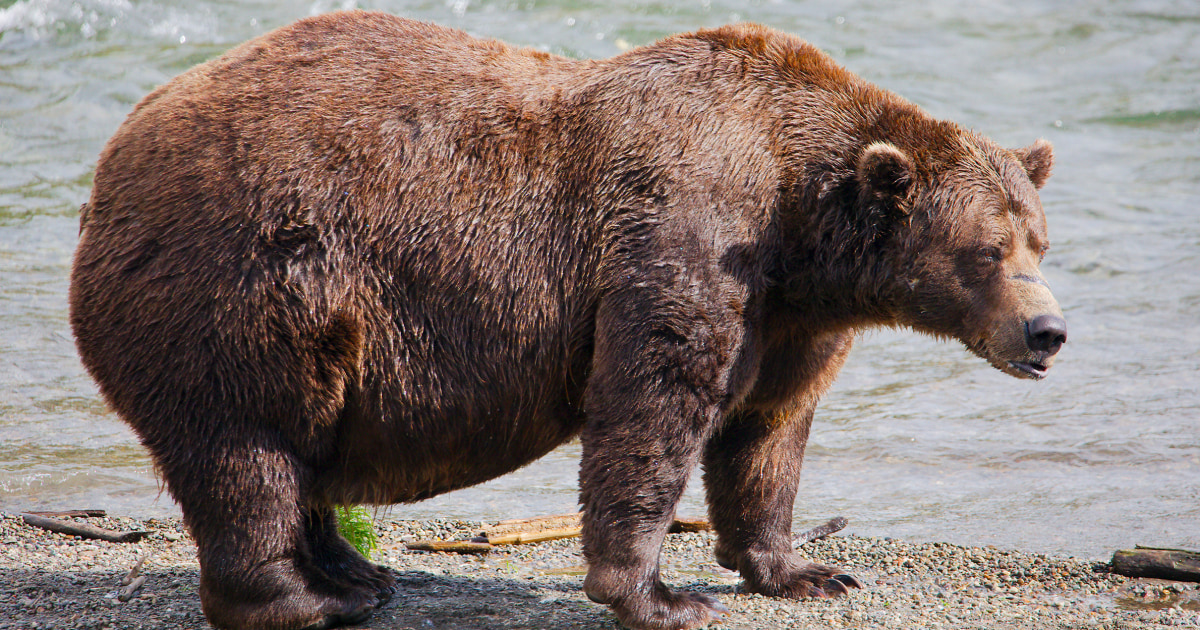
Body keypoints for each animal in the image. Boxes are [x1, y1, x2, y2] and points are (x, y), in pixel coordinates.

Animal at [69, 10, 1067, 630]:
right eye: (987, 250)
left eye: (1039, 240)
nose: (1047, 332)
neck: (800, 222)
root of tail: (109, 167)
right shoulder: (686, 233)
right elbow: (653, 405)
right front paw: (661, 596)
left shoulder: (790, 316)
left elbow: (767, 432)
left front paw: (806, 570)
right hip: (245, 283)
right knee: (249, 450)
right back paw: (307, 597)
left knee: (300, 450)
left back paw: (357, 572)